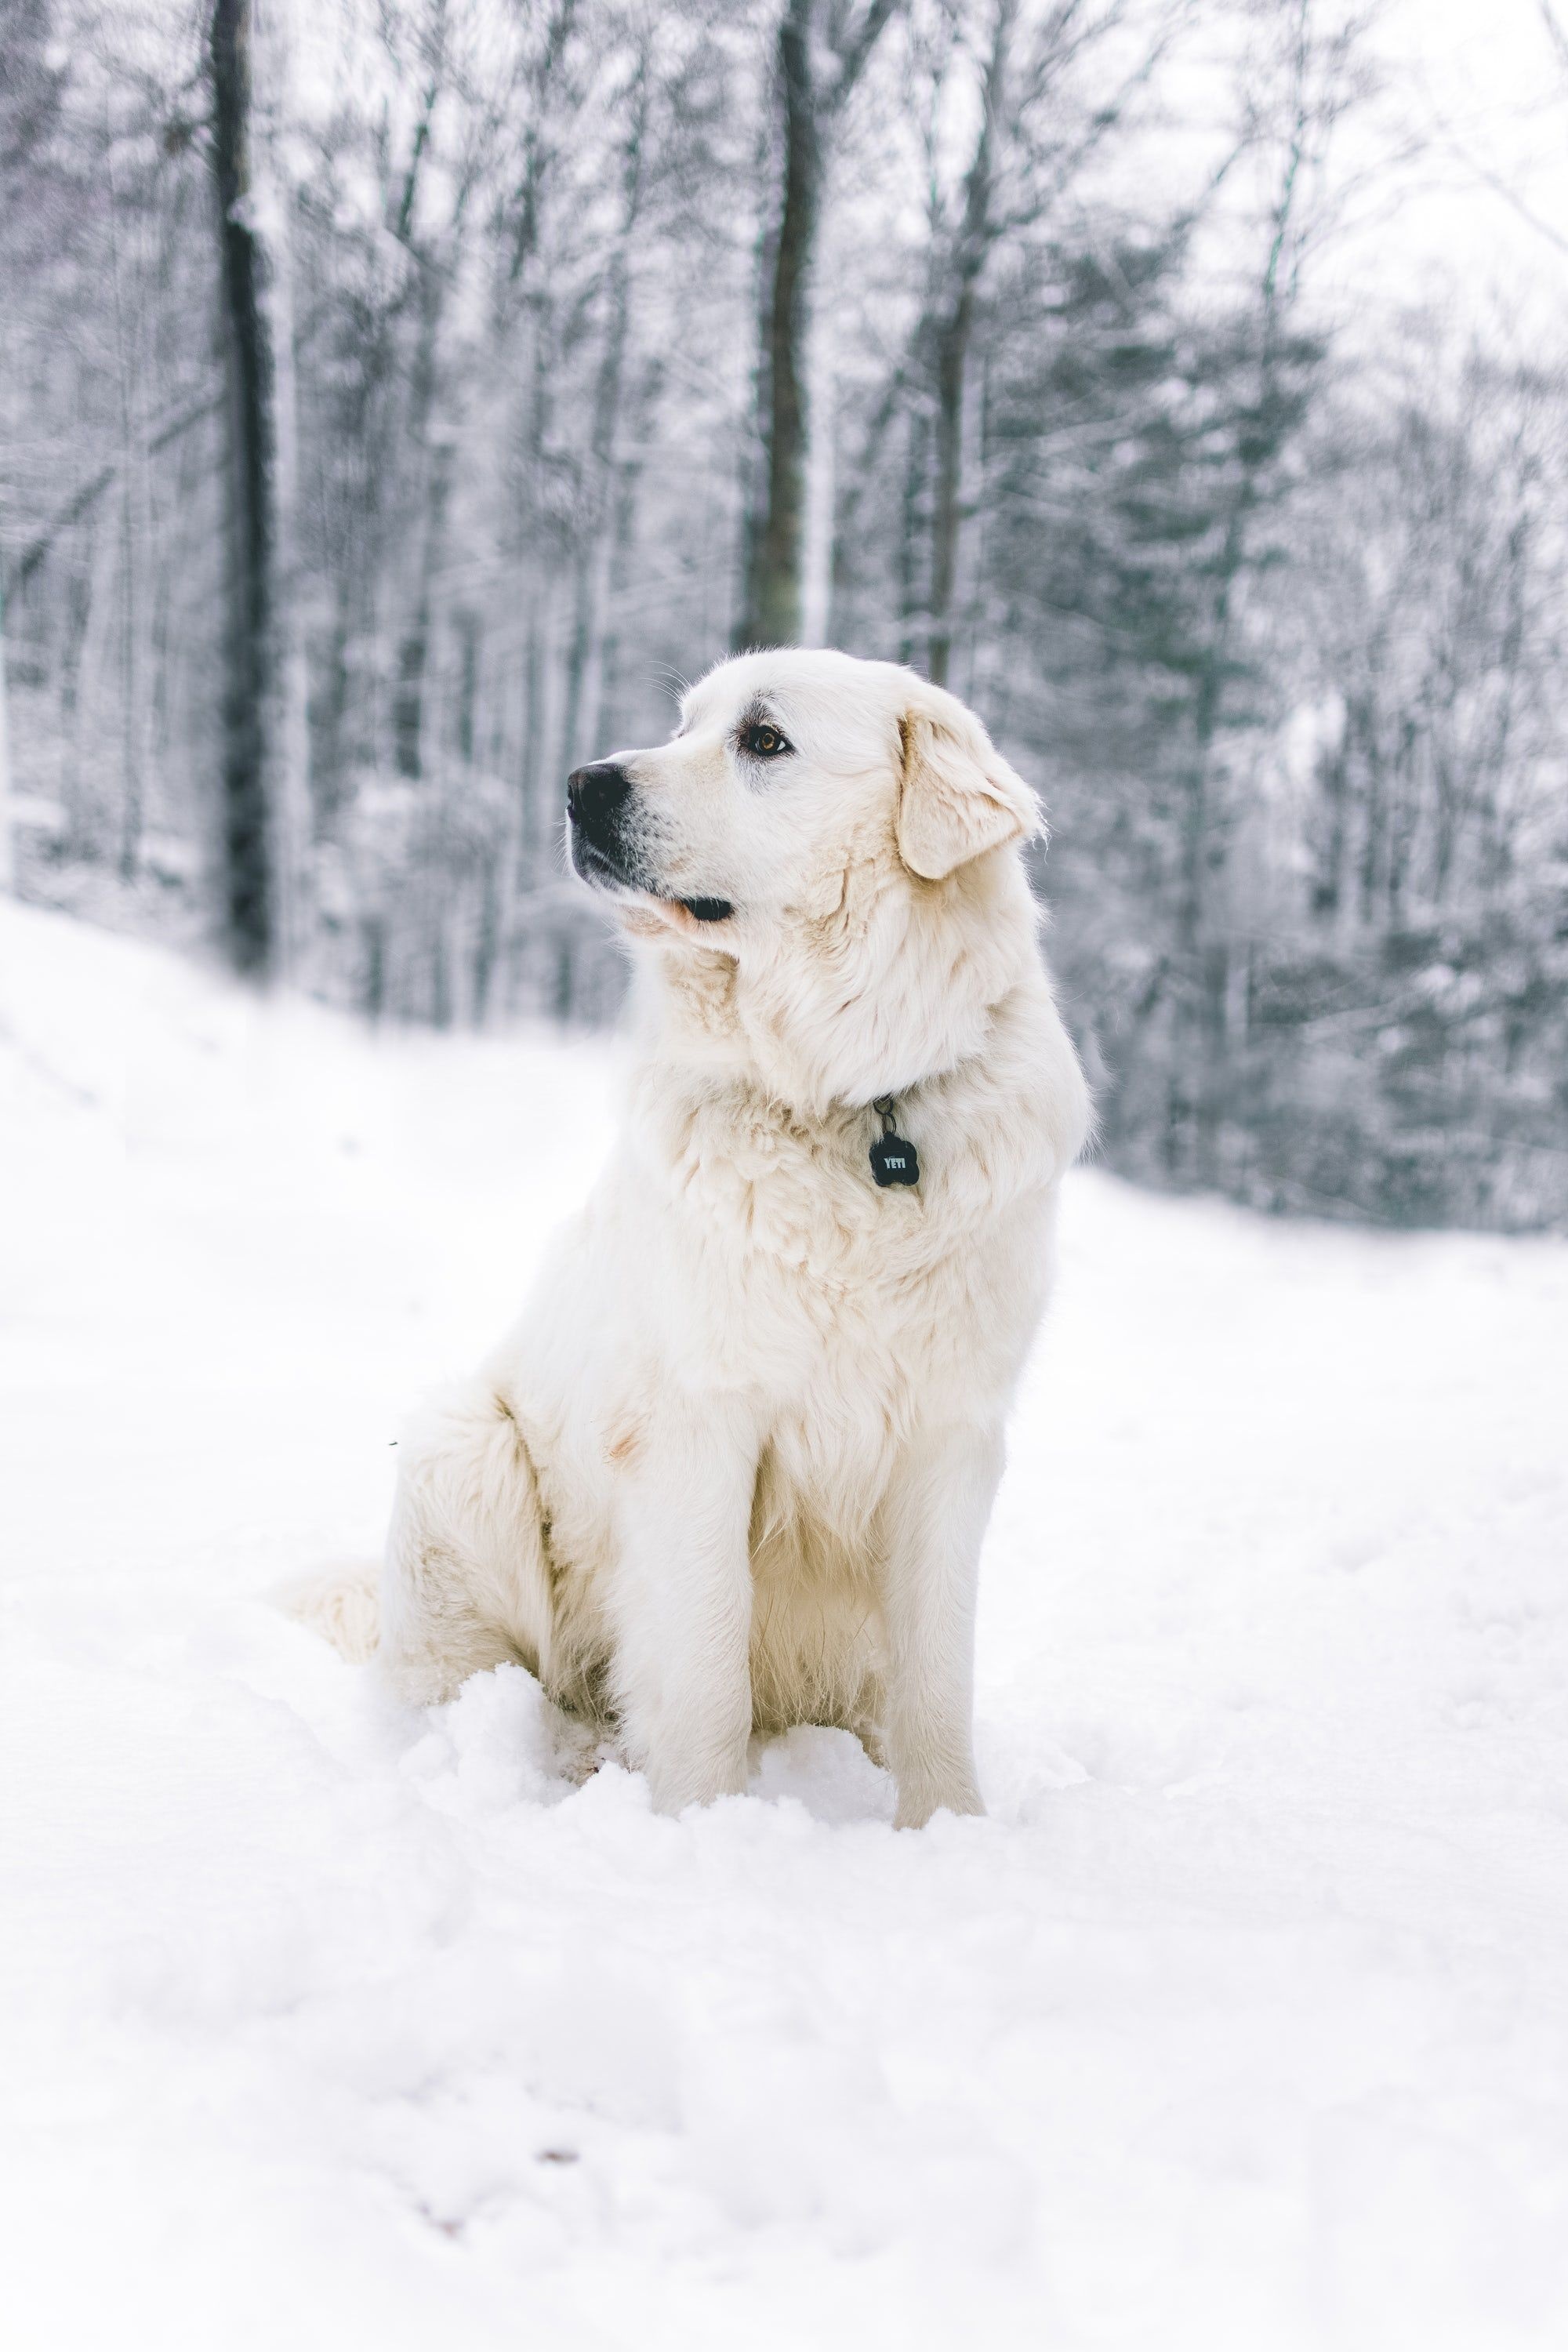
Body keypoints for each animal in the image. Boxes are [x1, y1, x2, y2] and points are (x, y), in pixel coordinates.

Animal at [333, 654, 1091, 1825]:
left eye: (764, 740)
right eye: (683, 724)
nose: (581, 784)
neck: (848, 1106)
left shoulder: (950, 1437)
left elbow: (935, 1676)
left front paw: (947, 1830)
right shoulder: (699, 1427)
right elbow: (702, 1668)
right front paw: (704, 1829)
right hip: (463, 1447)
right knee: (483, 1685)